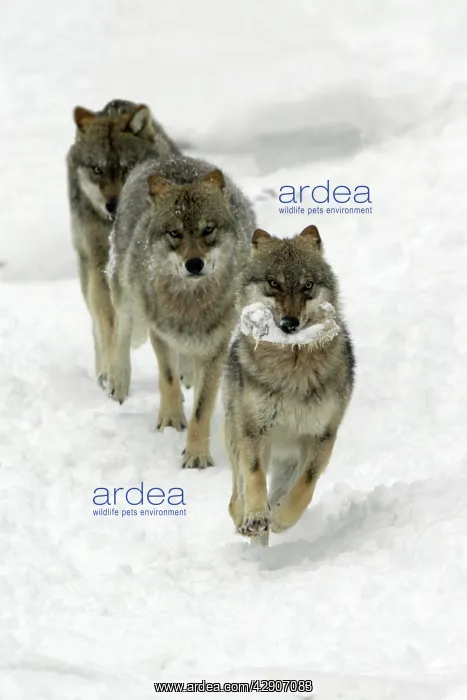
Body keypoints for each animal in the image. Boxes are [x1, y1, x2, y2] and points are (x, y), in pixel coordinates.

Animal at [67, 99, 180, 386]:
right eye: (97, 170)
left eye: (128, 167)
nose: (112, 204)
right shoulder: (100, 268)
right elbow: (108, 323)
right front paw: (111, 372)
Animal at [107, 155, 256, 469]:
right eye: (174, 233)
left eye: (208, 230)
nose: (194, 264)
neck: (190, 303)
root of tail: (166, 158)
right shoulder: (160, 333)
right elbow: (168, 380)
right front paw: (170, 421)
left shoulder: (215, 347)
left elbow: (202, 407)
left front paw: (197, 455)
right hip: (125, 295)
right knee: (121, 333)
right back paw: (118, 381)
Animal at [223, 225, 355, 542]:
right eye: (274, 283)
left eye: (307, 285)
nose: (289, 324)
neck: (292, 368)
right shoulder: (253, 432)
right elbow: (255, 476)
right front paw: (256, 517)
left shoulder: (322, 436)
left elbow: (305, 486)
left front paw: (282, 518)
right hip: (239, 437)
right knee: (235, 499)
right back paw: (248, 522)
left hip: (289, 458)